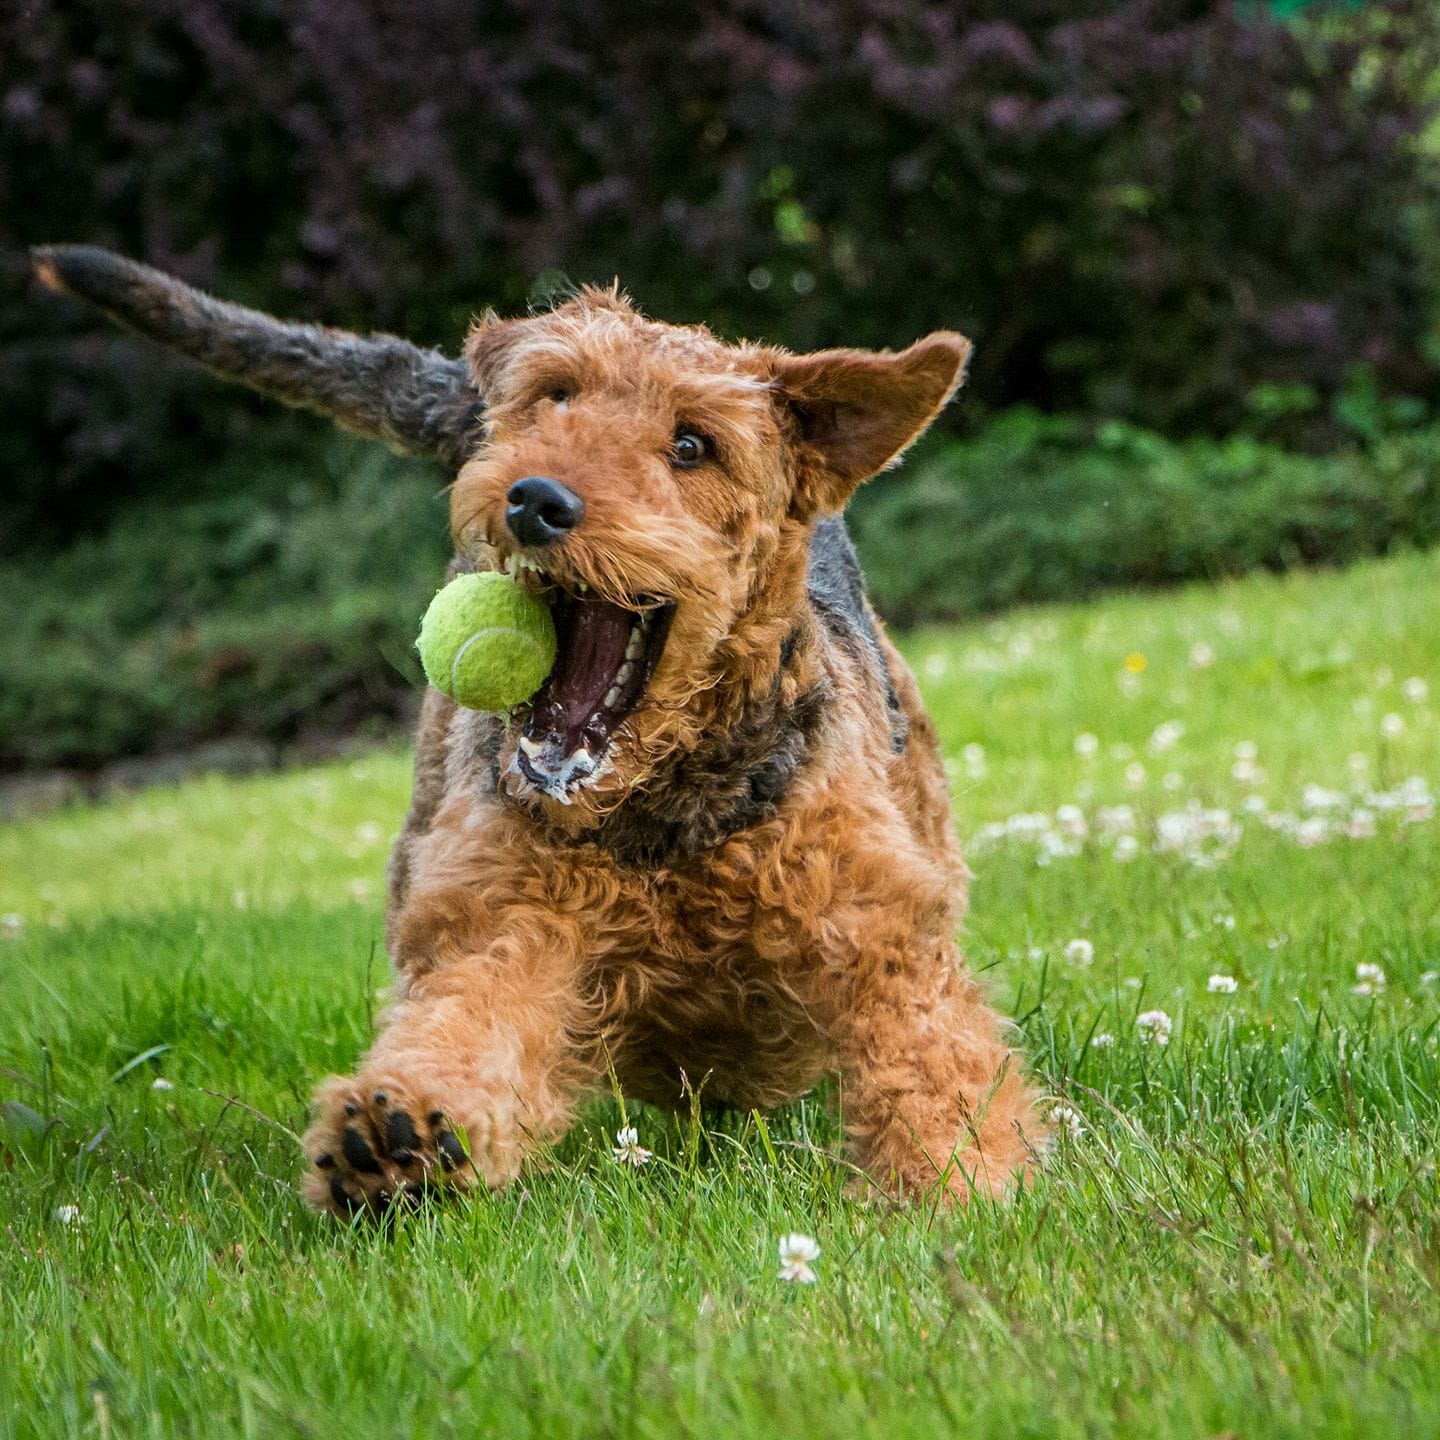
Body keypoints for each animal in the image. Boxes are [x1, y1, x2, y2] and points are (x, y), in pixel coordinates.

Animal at [33, 241, 1042, 1209]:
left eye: (693, 444)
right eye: (557, 394)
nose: (537, 499)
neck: (660, 817)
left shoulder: (879, 940)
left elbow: (933, 1061)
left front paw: (963, 1180)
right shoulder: (508, 918)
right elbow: (470, 1018)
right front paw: (396, 1133)